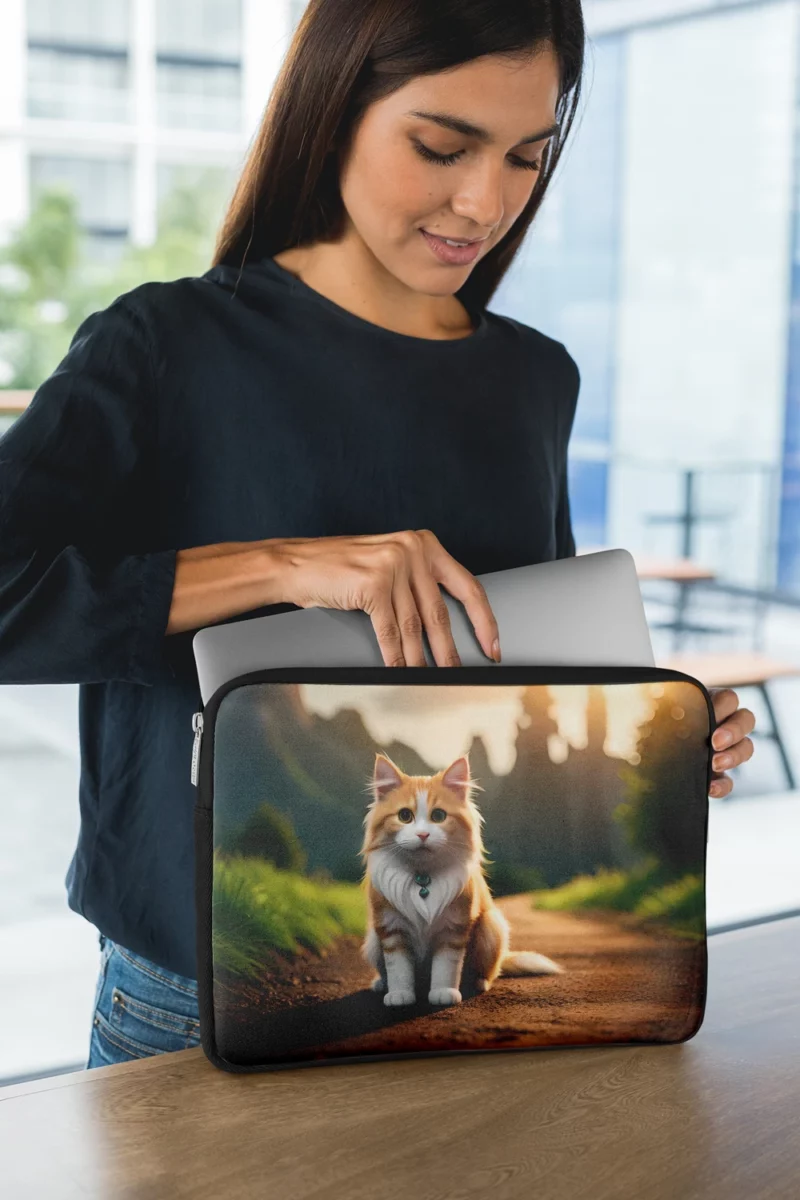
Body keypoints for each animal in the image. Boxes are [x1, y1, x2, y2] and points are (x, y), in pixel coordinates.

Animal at [359, 748, 561, 1003]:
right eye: (405, 816)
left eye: (438, 816)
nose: (423, 834)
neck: (423, 876)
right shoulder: (391, 929)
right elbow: (398, 970)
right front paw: (399, 995)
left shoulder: (454, 929)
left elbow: (446, 967)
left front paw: (444, 993)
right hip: (372, 941)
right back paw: (380, 984)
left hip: (491, 927)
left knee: (490, 971)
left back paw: (479, 984)